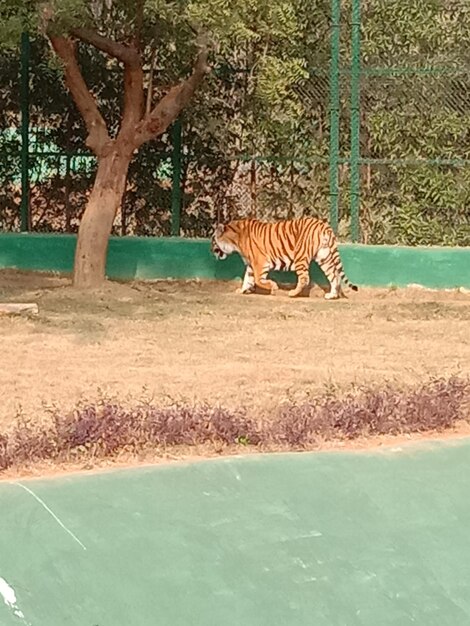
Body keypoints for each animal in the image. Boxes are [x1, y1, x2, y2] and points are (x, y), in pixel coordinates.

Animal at [211, 217, 358, 300]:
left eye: (212, 241)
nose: (211, 251)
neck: (235, 241)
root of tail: (323, 225)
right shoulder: (251, 265)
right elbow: (248, 279)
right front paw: (241, 290)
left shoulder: (260, 262)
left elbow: (258, 280)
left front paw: (273, 287)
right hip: (324, 257)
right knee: (334, 275)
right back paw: (332, 295)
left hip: (300, 256)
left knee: (305, 278)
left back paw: (293, 293)